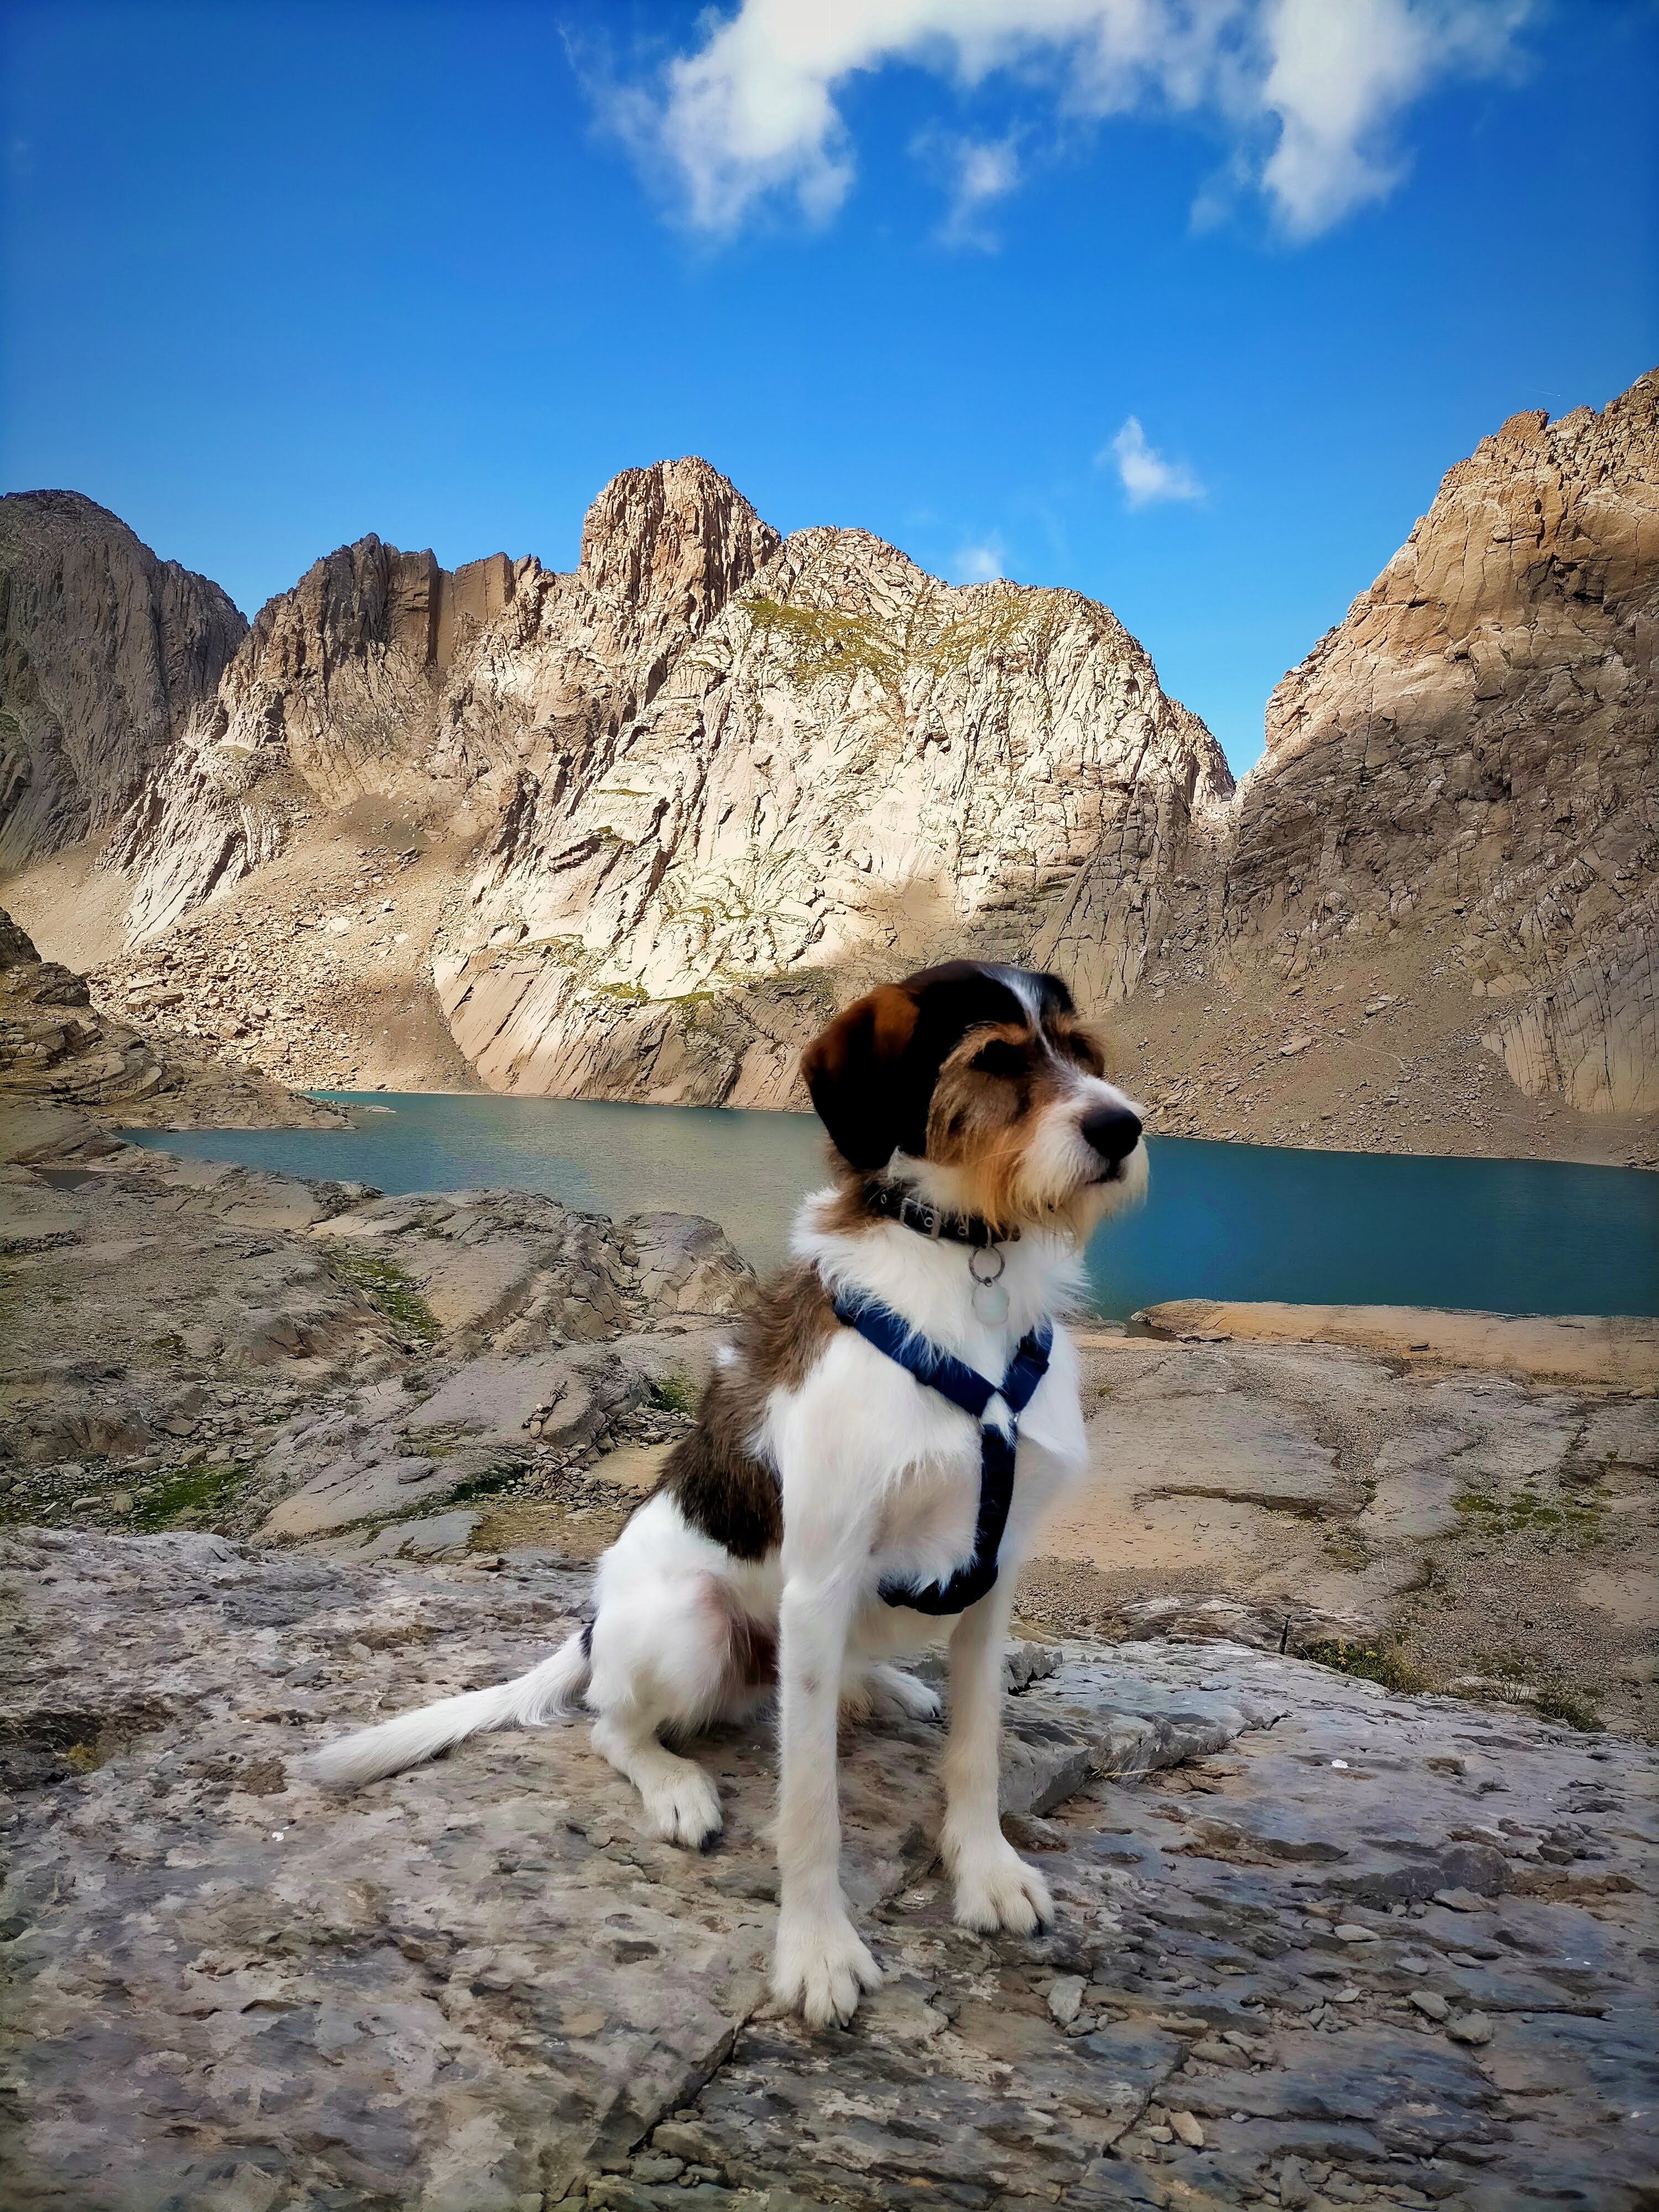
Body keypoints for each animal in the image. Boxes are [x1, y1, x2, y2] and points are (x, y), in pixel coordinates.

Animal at [309, 959, 1147, 2028]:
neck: (964, 1275)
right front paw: (818, 1950)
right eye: (997, 1059)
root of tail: (594, 1627)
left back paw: (886, 1689)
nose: (1123, 1128)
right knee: (610, 1724)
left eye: (1079, 1051)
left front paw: (987, 1871)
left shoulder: (991, 1574)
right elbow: (810, 1805)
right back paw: (676, 1783)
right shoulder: (822, 1576)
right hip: (691, 1626)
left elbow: (978, 1749)